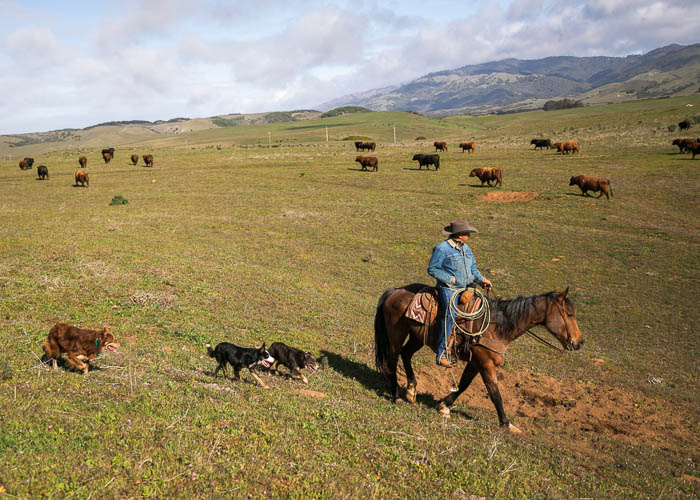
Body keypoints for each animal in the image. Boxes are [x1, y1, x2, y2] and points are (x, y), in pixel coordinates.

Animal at [374, 286, 584, 434]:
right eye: (569, 314)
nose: (579, 342)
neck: (496, 326)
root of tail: (394, 291)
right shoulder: (485, 363)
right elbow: (495, 393)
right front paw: (506, 424)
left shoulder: (475, 362)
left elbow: (463, 385)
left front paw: (444, 406)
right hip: (396, 334)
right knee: (392, 360)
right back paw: (396, 396)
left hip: (418, 337)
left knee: (406, 355)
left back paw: (411, 390)